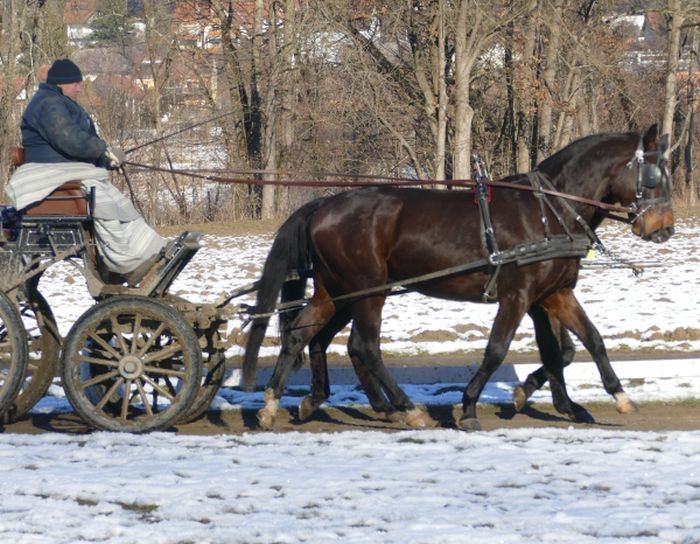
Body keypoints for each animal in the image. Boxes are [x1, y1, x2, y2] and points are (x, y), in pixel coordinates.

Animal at [243, 125, 674, 431]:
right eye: (654, 177)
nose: (664, 228)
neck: (547, 212)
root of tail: (323, 204)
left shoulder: (553, 295)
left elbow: (584, 343)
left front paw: (609, 398)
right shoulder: (518, 296)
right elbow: (498, 349)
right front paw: (467, 408)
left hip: (336, 291)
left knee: (301, 335)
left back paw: (274, 404)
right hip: (367, 291)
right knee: (364, 347)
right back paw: (406, 409)